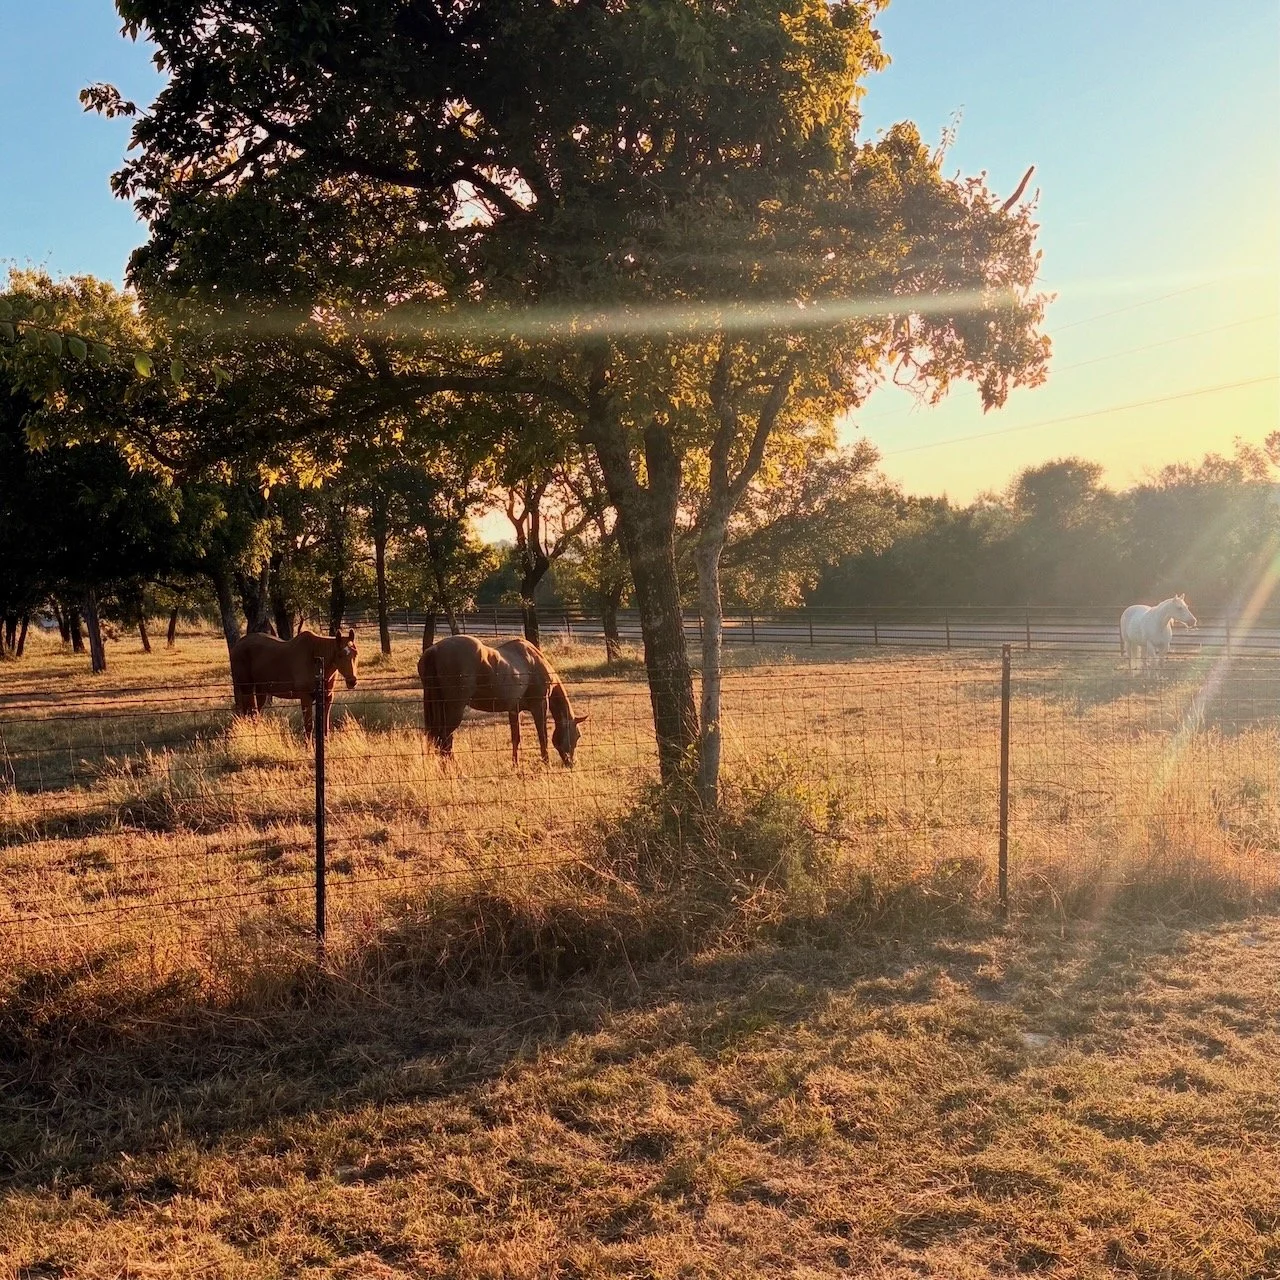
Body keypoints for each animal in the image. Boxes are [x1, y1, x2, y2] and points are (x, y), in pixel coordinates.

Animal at [229, 628, 359, 738]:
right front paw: (308, 749)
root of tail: (237, 646)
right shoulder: (306, 697)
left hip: (261, 690)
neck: (315, 657)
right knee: (250, 713)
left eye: (355, 654)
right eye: (340, 655)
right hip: (247, 688)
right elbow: (308, 727)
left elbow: (325, 726)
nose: (352, 681)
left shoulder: (327, 698)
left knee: (255, 713)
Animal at [417, 633, 588, 767]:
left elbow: (516, 738)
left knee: (439, 739)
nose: (572, 763)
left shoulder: (513, 710)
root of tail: (434, 650)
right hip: (454, 709)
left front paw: (515, 765)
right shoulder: (539, 705)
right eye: (577, 735)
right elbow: (543, 736)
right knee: (444, 739)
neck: (533, 662)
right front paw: (546, 763)